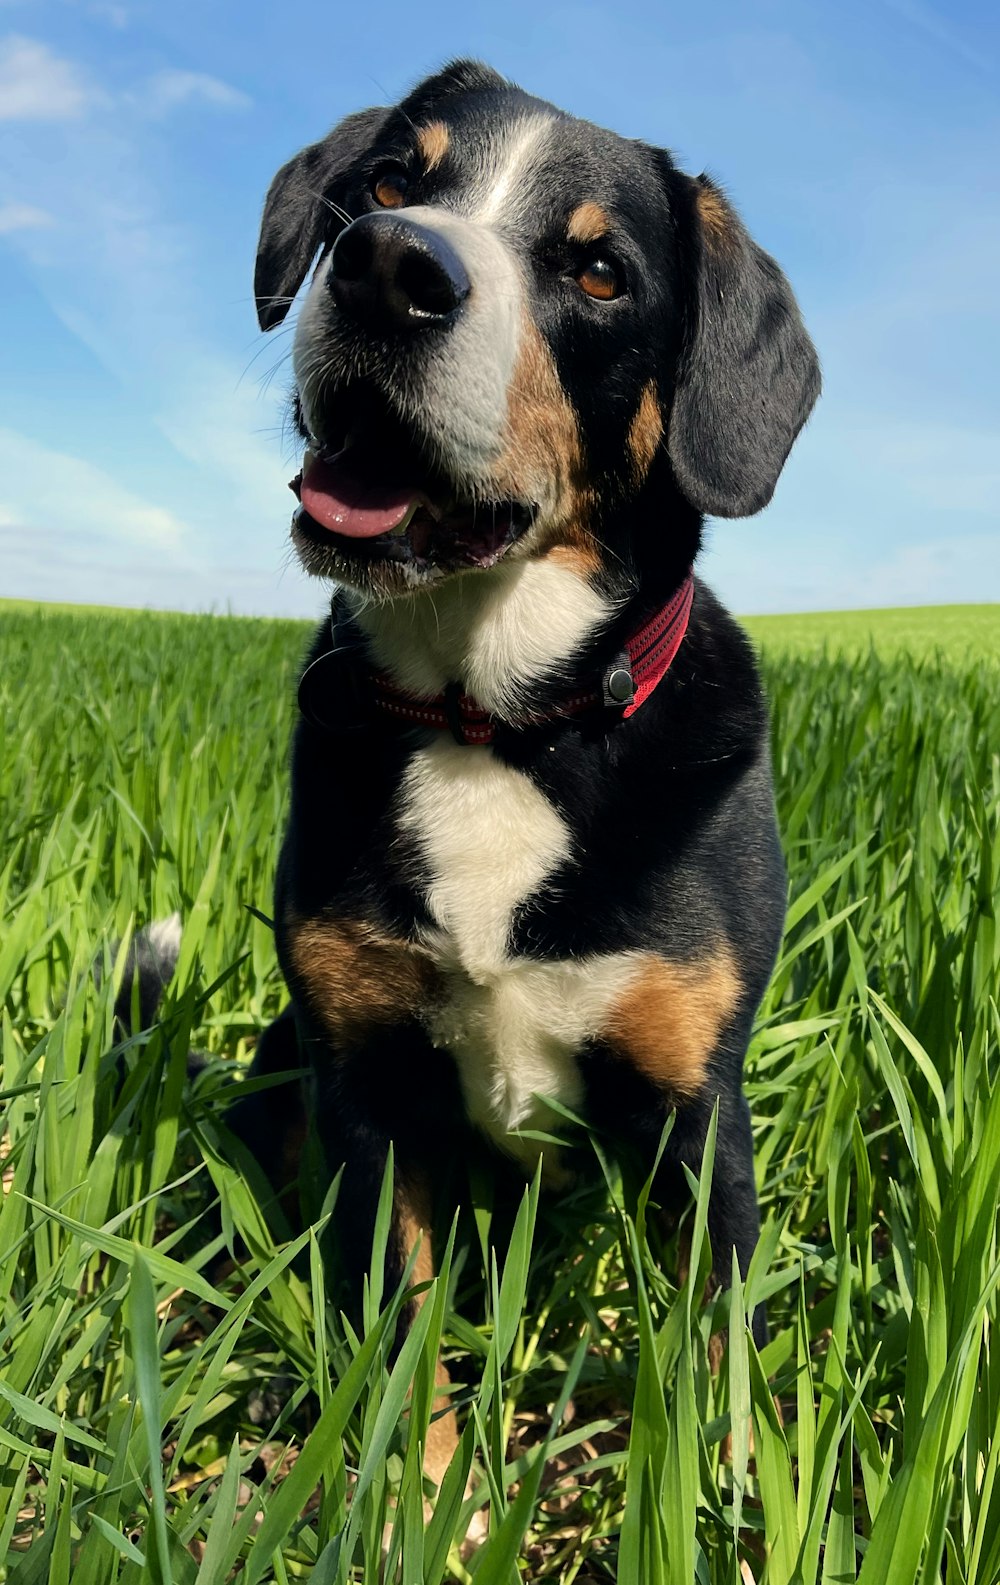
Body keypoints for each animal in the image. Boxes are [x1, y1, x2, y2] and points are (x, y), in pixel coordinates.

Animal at [232, 55, 824, 1502]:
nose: (391, 267)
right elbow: (399, 1337)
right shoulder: (366, 1090)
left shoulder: (694, 1118)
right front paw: (421, 1505)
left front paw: (726, 1509)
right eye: (389, 182)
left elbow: (715, 1370)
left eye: (599, 271)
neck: (490, 719)